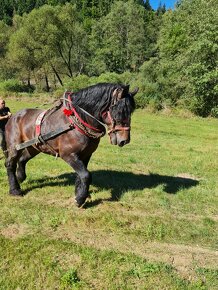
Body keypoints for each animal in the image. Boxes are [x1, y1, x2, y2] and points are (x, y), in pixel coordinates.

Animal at [4, 82, 138, 207]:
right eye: (120, 110)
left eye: (131, 111)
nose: (124, 140)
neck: (75, 122)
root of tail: (14, 116)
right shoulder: (68, 155)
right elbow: (86, 175)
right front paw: (80, 199)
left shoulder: (86, 155)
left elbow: (81, 175)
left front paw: (79, 193)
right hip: (15, 147)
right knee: (10, 164)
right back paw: (15, 190)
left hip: (34, 147)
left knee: (22, 160)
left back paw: (20, 177)